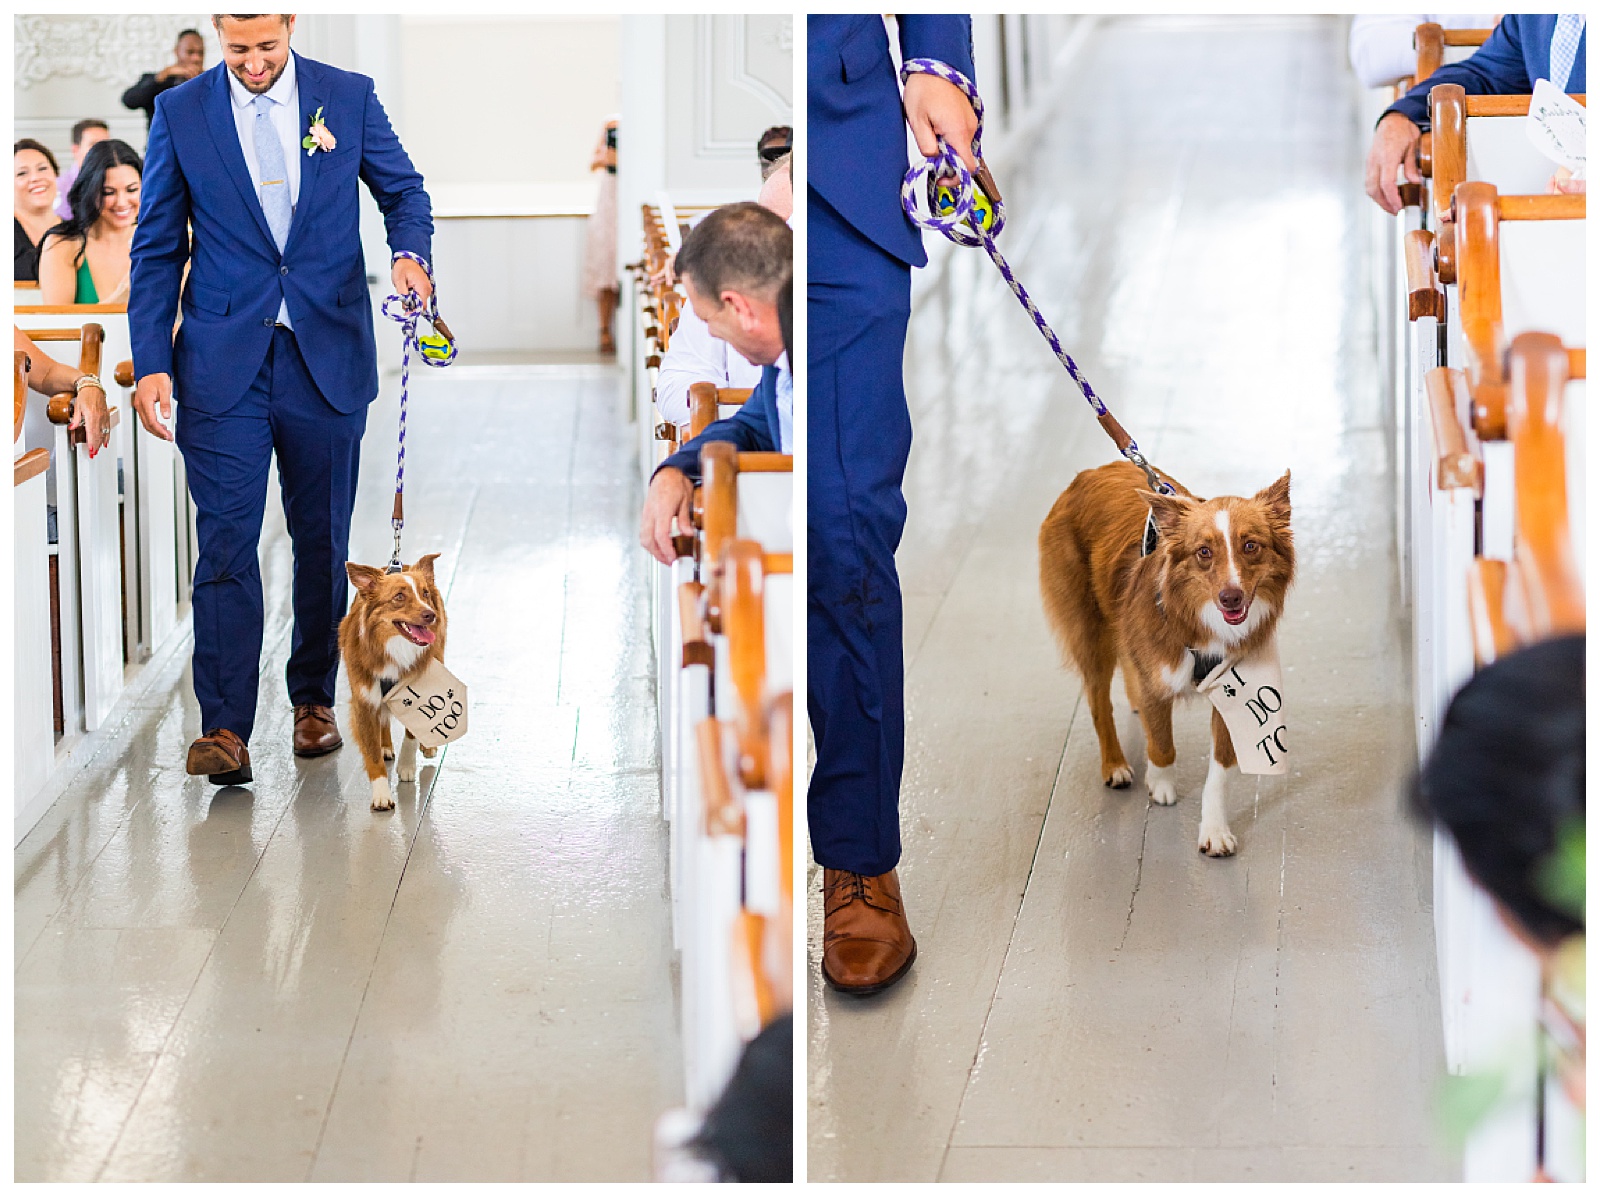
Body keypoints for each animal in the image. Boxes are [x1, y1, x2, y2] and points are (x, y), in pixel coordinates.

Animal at [340, 559, 448, 812]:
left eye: (425, 593)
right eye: (399, 596)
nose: (430, 615)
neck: (395, 648)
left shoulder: (417, 693)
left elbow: (411, 734)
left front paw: (406, 766)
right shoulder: (364, 701)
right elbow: (371, 753)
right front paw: (381, 794)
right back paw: (386, 745)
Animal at [1043, 460, 1292, 857]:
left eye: (1251, 546)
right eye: (1203, 552)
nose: (1231, 598)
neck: (1199, 623)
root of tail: (1091, 471)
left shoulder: (1232, 689)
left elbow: (1220, 770)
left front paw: (1214, 830)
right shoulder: (1156, 678)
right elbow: (1162, 742)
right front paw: (1160, 784)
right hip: (1089, 632)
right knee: (1099, 702)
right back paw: (1115, 764)